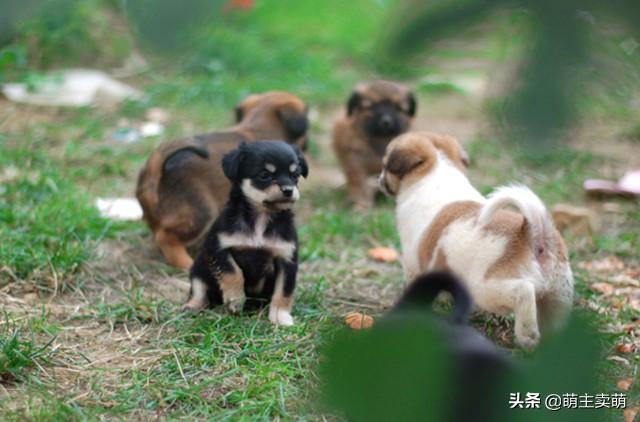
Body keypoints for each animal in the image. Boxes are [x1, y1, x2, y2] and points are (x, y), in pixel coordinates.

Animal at [185, 142, 308, 326]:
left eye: (295, 175)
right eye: (264, 175)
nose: (288, 190)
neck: (261, 217)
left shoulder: (287, 260)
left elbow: (283, 291)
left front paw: (280, 315)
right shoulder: (218, 248)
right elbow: (233, 272)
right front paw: (235, 300)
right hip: (199, 268)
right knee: (199, 289)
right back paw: (192, 306)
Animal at [332, 80, 418, 209]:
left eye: (397, 108)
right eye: (371, 106)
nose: (386, 121)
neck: (379, 139)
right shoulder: (354, 163)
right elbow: (359, 186)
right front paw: (361, 206)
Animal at [380, 133, 576, 350]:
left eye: (384, 165)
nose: (380, 181)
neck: (436, 172)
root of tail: (532, 232)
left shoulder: (412, 266)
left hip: (486, 288)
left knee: (524, 292)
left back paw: (527, 336)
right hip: (558, 296)